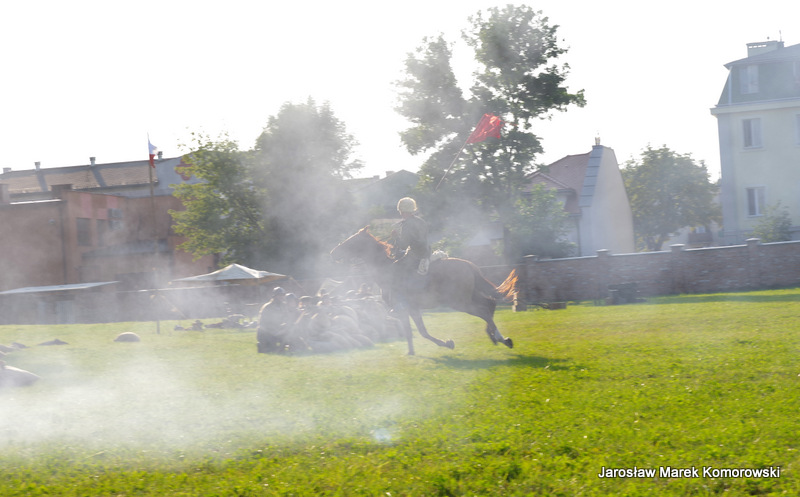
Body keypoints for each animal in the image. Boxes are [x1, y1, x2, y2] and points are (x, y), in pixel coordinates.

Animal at [330, 227, 518, 355]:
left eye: (352, 241)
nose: (333, 253)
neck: (387, 268)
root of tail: (468, 265)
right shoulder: (409, 310)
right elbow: (415, 332)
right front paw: (411, 352)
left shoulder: (407, 308)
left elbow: (421, 332)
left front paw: (447, 343)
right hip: (469, 298)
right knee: (489, 304)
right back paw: (498, 337)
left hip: (460, 303)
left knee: (484, 311)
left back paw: (499, 337)